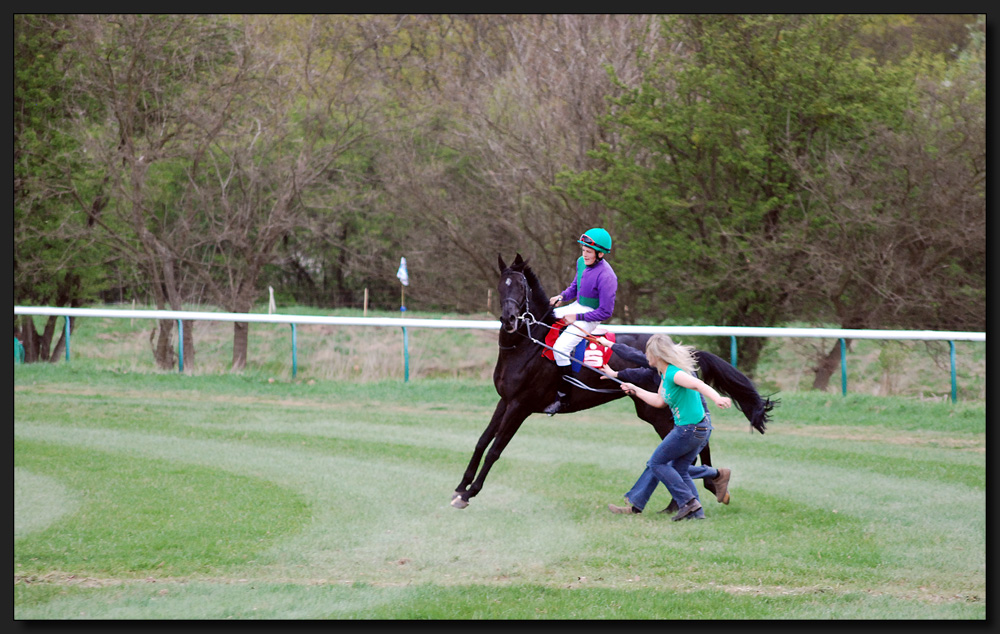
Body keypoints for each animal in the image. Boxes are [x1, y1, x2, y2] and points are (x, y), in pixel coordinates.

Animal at [452, 253, 772, 508]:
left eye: (521, 287)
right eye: (500, 285)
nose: (509, 319)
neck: (527, 345)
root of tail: (680, 352)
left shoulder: (521, 405)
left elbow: (495, 450)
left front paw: (470, 493)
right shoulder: (505, 401)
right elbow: (482, 442)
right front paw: (460, 487)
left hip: (660, 413)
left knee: (689, 449)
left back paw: (690, 495)